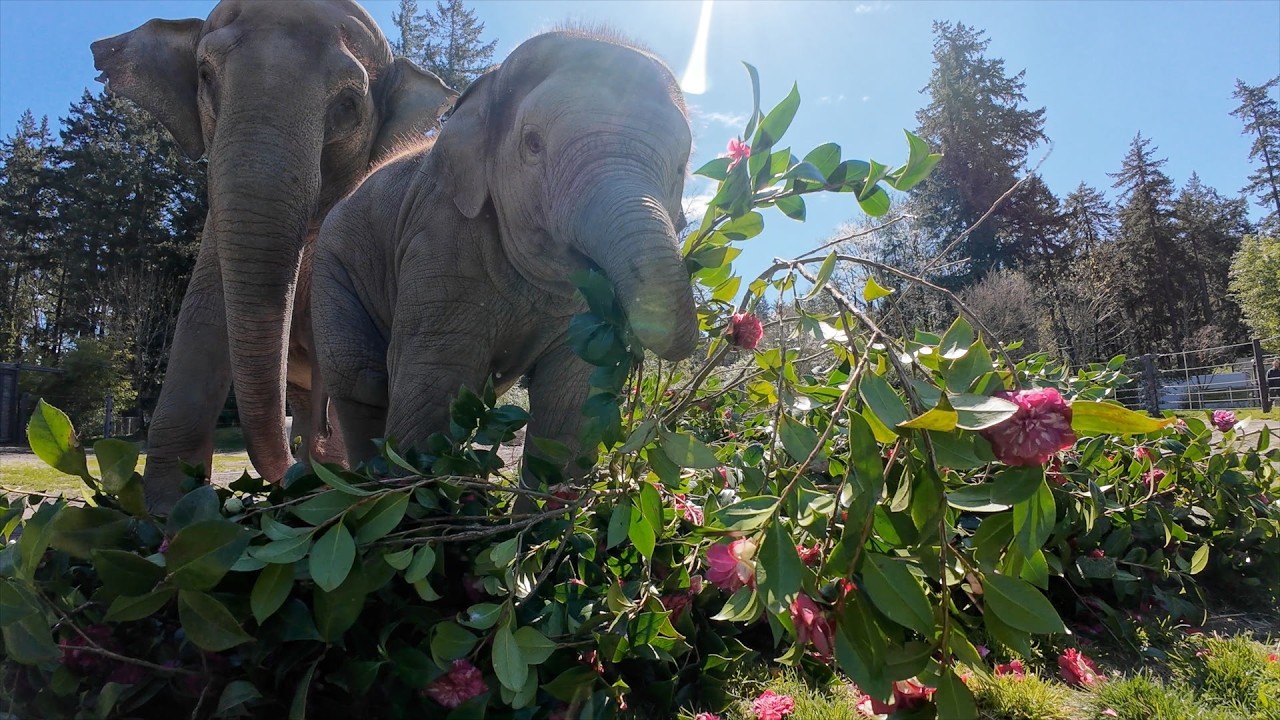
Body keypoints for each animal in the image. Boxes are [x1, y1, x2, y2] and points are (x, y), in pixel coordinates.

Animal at [312, 30, 699, 485]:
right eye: (532, 144)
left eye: (680, 169)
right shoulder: (439, 236)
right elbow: (436, 379)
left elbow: (569, 401)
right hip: (331, 266)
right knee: (363, 378)